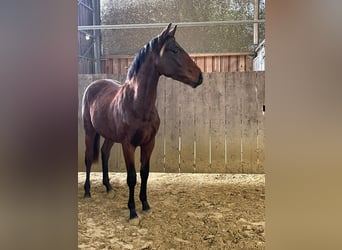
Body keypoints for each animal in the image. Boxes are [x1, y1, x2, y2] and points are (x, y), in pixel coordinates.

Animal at [81, 22, 202, 220]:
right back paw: (87, 191)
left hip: (110, 136)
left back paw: (109, 187)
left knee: (105, 153)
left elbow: (144, 173)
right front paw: (132, 211)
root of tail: (93, 85)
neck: (136, 103)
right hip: (90, 132)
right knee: (88, 157)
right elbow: (132, 177)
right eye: (174, 50)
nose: (199, 76)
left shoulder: (149, 143)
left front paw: (145, 204)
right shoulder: (128, 145)